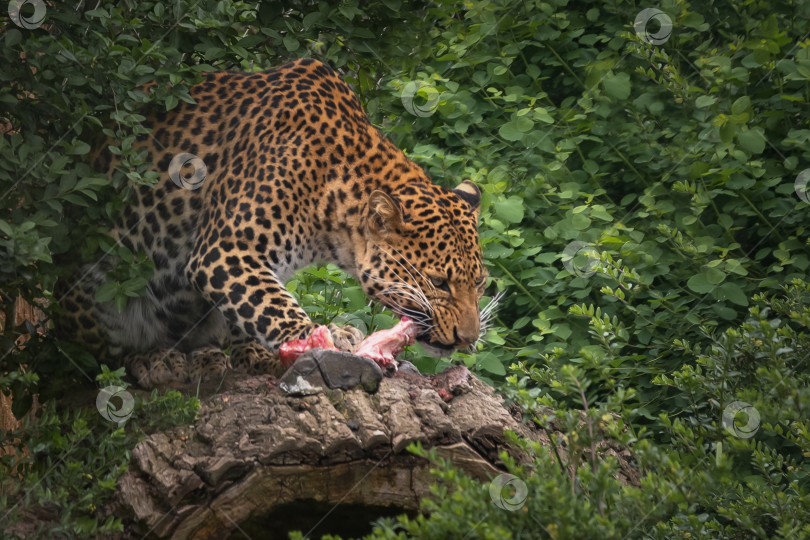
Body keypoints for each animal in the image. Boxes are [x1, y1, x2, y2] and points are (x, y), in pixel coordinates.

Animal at [60, 58, 486, 388]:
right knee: (102, 358)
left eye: (480, 284)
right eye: (439, 283)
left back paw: (211, 355)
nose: (467, 340)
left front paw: (263, 350)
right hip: (97, 287)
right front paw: (318, 341)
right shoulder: (224, 249)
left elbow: (251, 306)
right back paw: (154, 359)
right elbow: (272, 305)